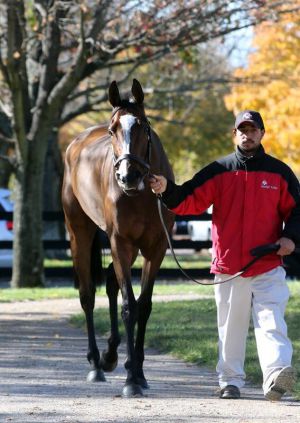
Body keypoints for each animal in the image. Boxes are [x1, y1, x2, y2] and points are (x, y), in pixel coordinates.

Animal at [62, 78, 175, 398]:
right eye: (112, 130)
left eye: (143, 126)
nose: (127, 176)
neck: (142, 196)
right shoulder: (120, 243)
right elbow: (129, 306)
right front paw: (131, 381)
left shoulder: (155, 248)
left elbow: (144, 306)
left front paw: (139, 372)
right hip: (80, 233)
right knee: (88, 295)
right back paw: (95, 364)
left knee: (112, 282)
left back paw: (112, 356)